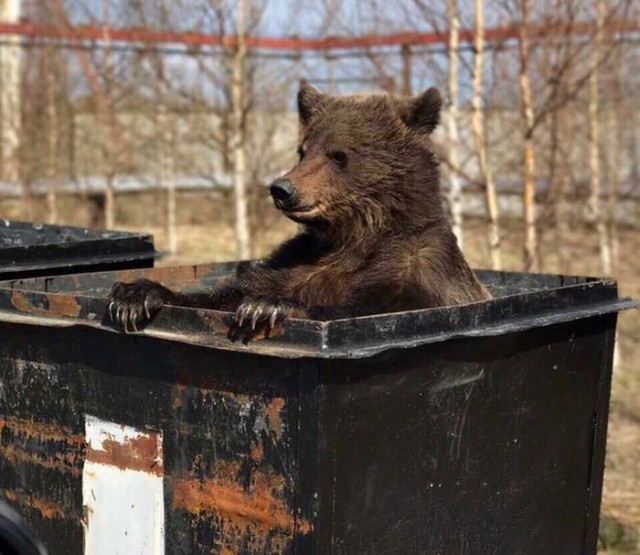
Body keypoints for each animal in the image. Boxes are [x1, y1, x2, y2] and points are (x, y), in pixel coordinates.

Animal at [109, 82, 490, 344]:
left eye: (339, 154)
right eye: (303, 150)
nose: (282, 188)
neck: (352, 234)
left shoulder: (417, 267)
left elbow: (371, 309)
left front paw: (267, 307)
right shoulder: (297, 261)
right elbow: (225, 296)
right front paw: (134, 295)